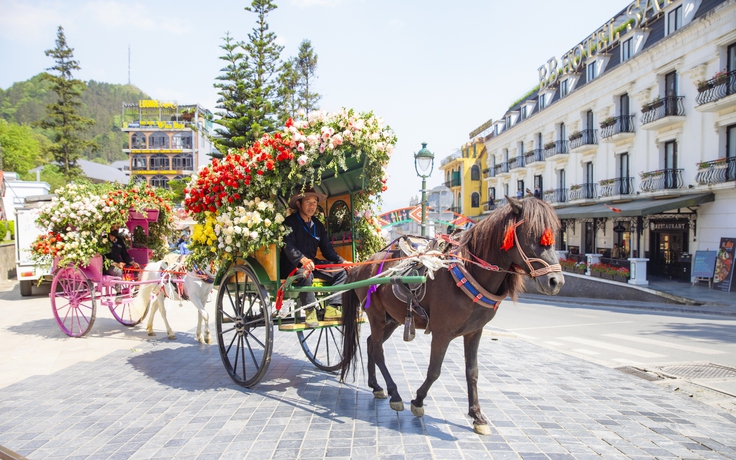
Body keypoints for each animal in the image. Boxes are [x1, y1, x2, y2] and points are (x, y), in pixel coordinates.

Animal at [340, 197, 564, 434]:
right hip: (376, 315)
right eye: (531, 234)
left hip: (392, 319)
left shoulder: (475, 332)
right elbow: (434, 370)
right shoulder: (442, 333)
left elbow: (472, 372)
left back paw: (376, 386)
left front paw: (477, 415)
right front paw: (418, 401)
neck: (469, 273)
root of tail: (362, 265)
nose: (556, 281)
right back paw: (395, 394)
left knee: (371, 344)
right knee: (378, 350)